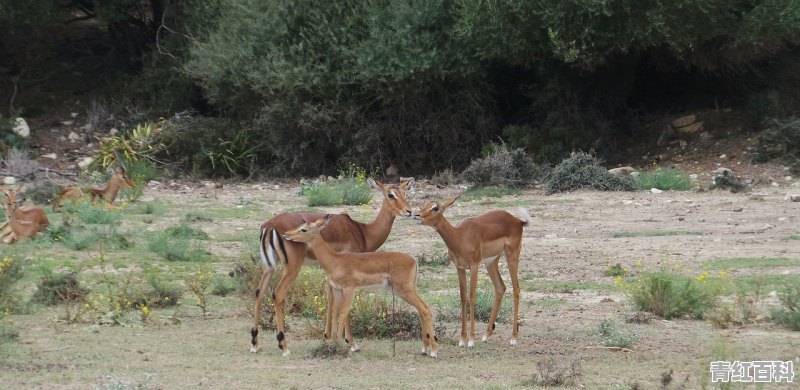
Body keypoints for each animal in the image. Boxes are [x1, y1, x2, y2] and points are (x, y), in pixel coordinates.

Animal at [252, 178, 412, 354]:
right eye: (390, 194)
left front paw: (327, 337)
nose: (409, 211)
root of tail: (270, 225)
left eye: (405, 194)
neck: (362, 231)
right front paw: (350, 343)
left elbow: (331, 300)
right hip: (292, 267)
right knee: (278, 294)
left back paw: (254, 344)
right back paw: (284, 346)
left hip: (270, 267)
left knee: (259, 292)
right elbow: (341, 306)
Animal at [284, 215, 440, 358]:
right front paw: (332, 343)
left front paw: (339, 344)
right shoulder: (337, 289)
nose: (286, 234)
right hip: (401, 290)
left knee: (425, 309)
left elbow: (343, 312)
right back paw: (425, 349)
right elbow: (335, 312)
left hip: (404, 290)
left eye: (303, 229)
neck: (335, 261)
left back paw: (433, 351)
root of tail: (413, 260)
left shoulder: (349, 289)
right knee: (422, 309)